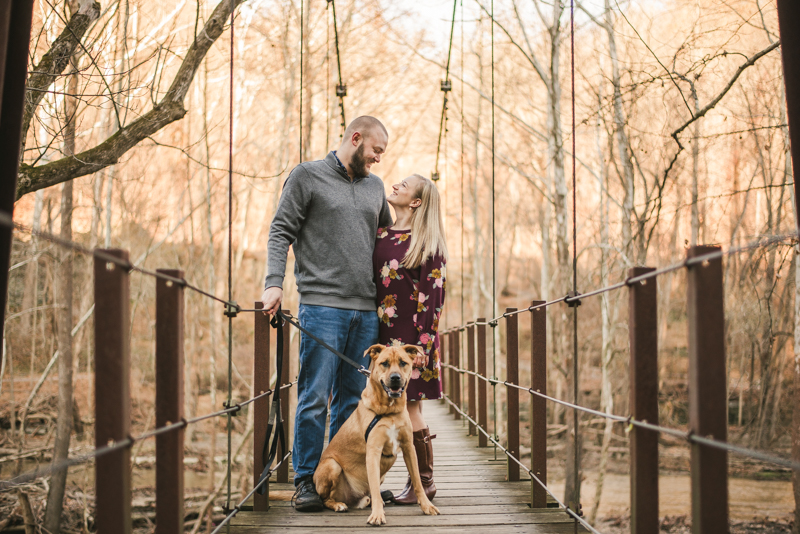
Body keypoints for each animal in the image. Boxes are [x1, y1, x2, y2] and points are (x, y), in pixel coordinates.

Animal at [312, 344, 440, 528]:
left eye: (403, 363)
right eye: (384, 363)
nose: (395, 378)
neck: (389, 410)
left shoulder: (409, 448)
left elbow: (417, 482)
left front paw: (426, 505)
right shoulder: (374, 451)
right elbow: (374, 488)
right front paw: (377, 515)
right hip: (332, 465)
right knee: (324, 499)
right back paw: (338, 505)